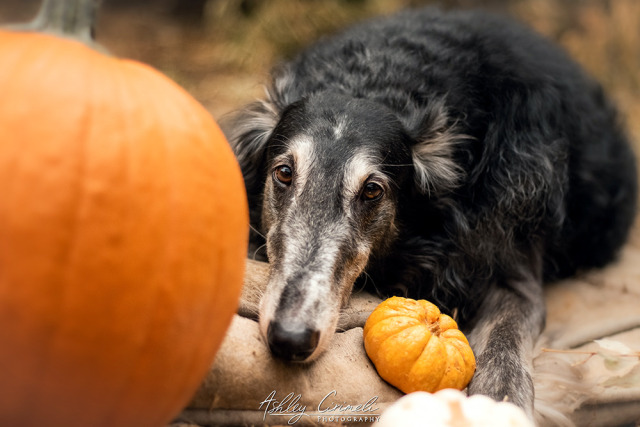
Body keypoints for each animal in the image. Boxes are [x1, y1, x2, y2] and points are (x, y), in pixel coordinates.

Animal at [222, 7, 636, 418]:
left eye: (372, 190)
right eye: (284, 173)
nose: (290, 339)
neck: (386, 73)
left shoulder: (514, 270)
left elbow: (504, 339)